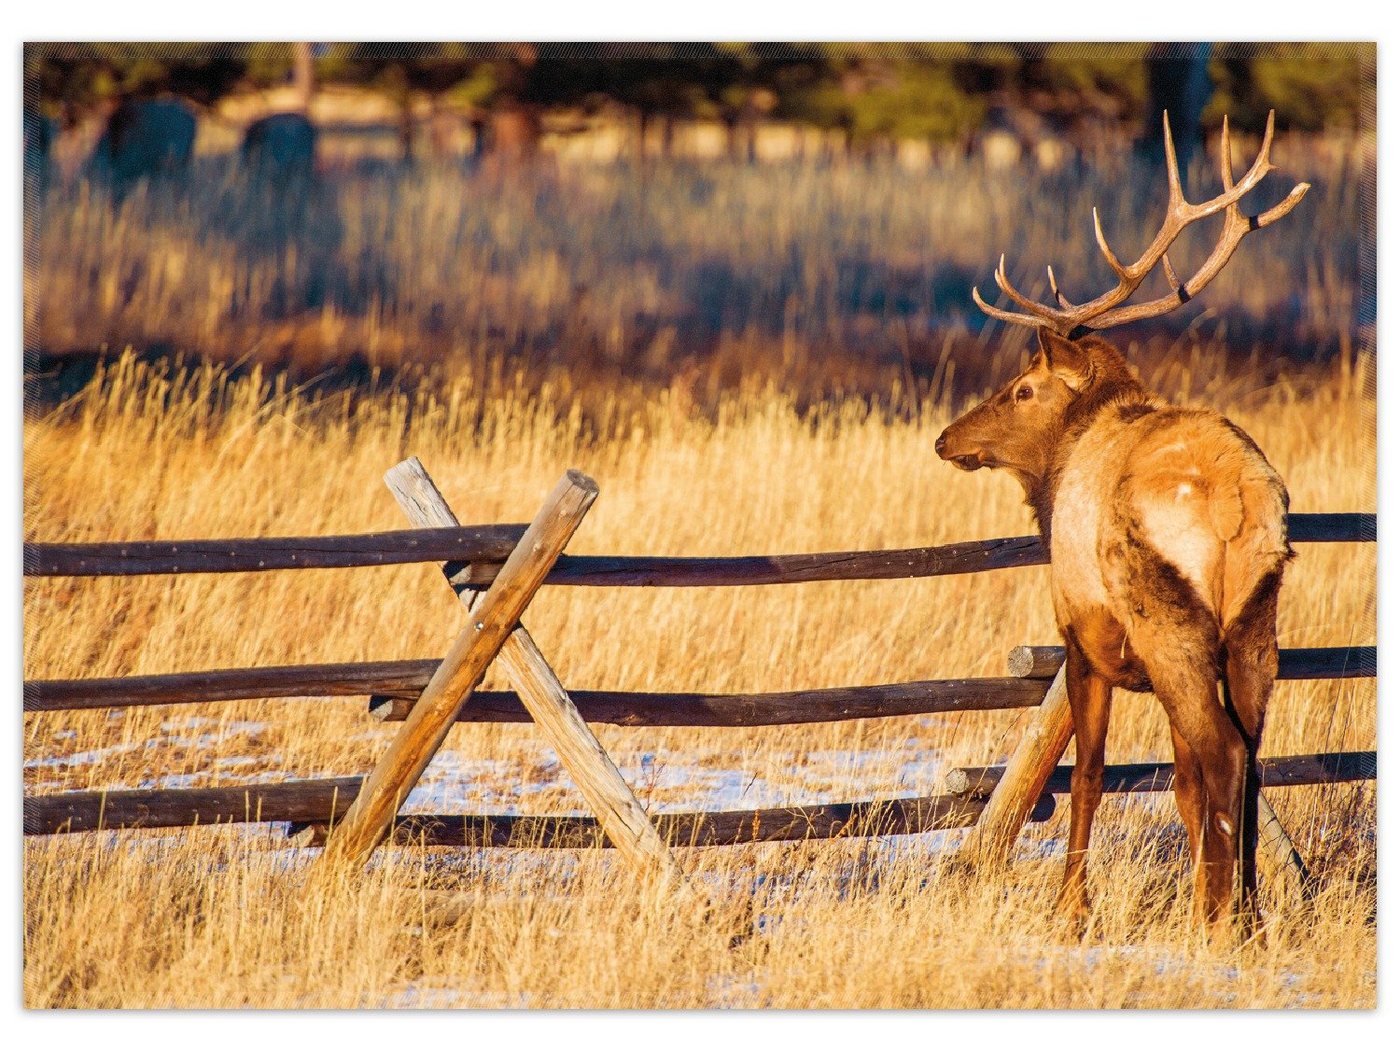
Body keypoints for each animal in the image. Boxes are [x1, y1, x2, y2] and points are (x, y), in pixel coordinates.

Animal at [940, 114, 1310, 935]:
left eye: (1021, 389)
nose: (947, 438)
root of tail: (1234, 502)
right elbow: (1178, 782)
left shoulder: (1080, 633)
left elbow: (1090, 774)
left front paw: (1070, 908)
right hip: (1255, 619)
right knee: (1249, 752)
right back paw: (1249, 912)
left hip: (1165, 616)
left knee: (1222, 751)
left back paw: (1217, 917)